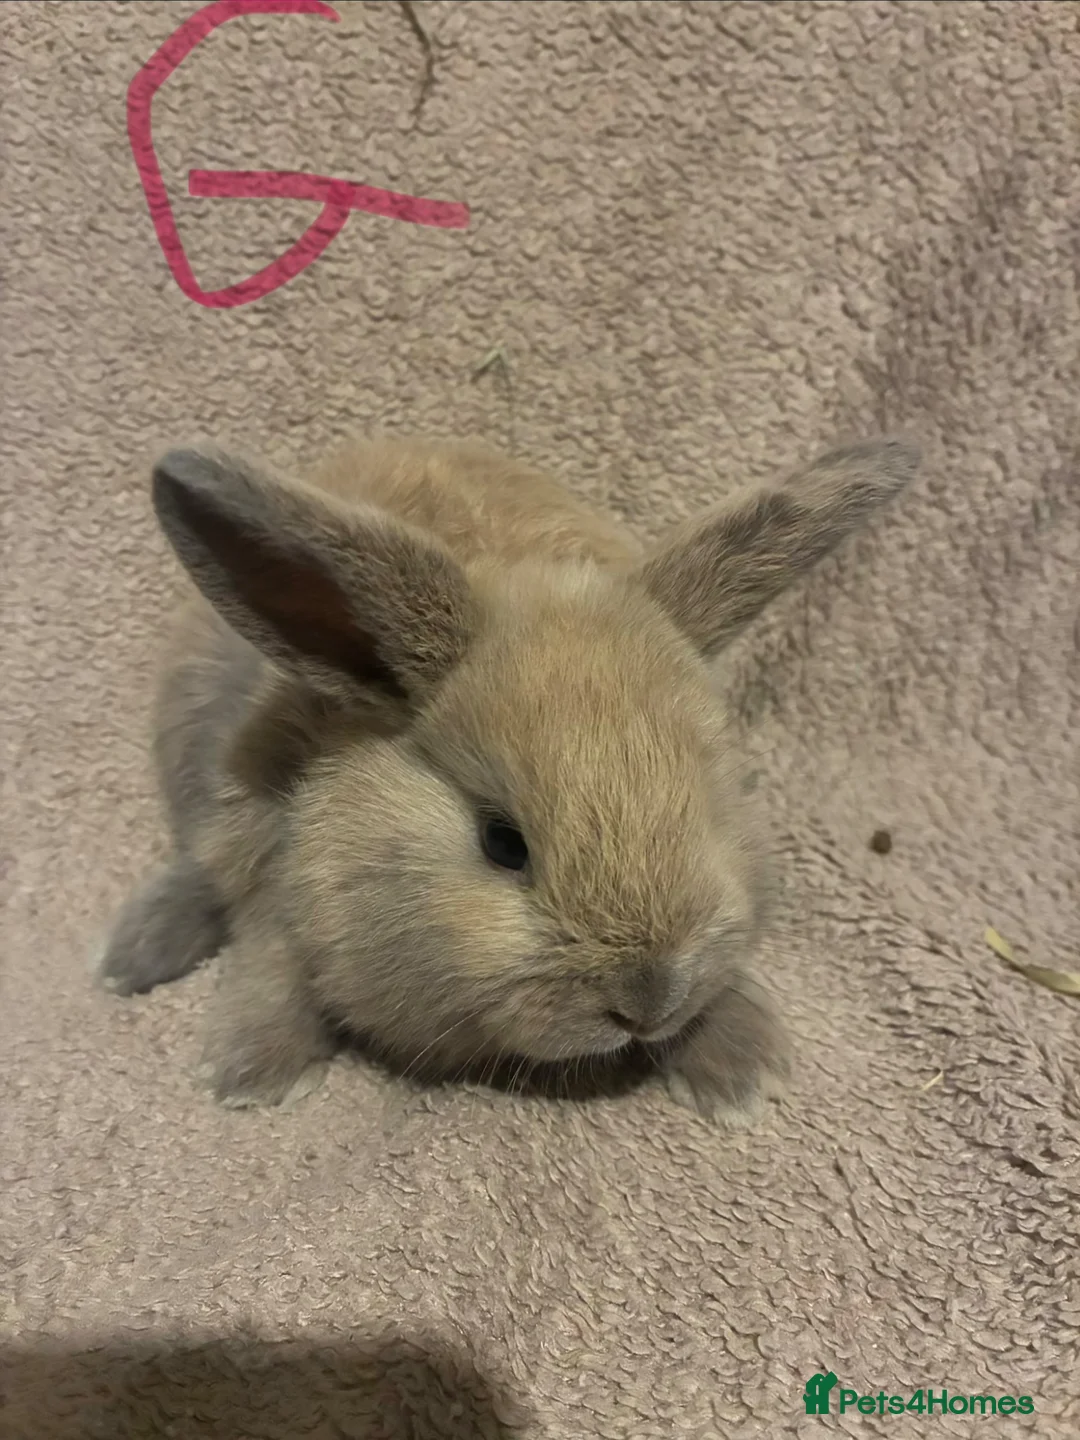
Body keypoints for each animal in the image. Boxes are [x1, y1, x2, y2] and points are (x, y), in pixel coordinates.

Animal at [96, 432, 918, 1121]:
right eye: (502, 843)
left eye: (711, 802)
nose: (648, 1000)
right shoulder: (269, 859)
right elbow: (271, 957)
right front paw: (252, 1073)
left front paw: (746, 1069)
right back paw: (130, 959)